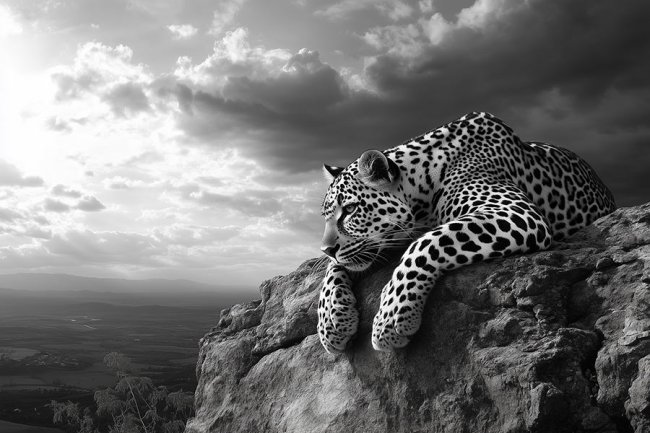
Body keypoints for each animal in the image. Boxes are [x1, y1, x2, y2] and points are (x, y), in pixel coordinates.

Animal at [317, 111, 616, 353]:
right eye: (327, 216)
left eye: (351, 209)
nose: (327, 249)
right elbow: (334, 269)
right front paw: (331, 320)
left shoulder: (514, 213)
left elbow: (427, 243)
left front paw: (391, 316)